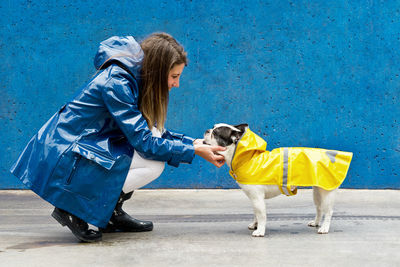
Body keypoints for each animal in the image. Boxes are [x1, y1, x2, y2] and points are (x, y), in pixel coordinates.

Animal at [205, 123, 352, 237]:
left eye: (215, 133)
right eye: (213, 127)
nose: (207, 130)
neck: (247, 159)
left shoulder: (257, 198)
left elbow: (261, 215)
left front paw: (260, 231)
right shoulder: (254, 198)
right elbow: (255, 213)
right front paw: (255, 224)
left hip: (327, 193)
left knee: (328, 211)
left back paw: (324, 228)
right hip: (317, 191)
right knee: (319, 208)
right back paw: (316, 223)